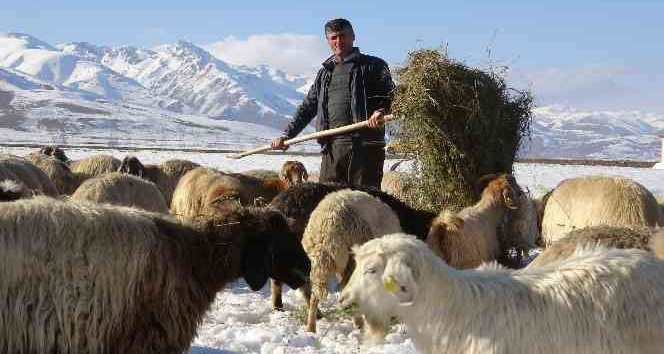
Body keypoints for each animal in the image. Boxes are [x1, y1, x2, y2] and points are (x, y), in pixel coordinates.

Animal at [302, 189, 404, 334]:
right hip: (352, 256)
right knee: (347, 286)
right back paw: (358, 322)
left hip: (323, 265)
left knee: (315, 294)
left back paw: (311, 328)